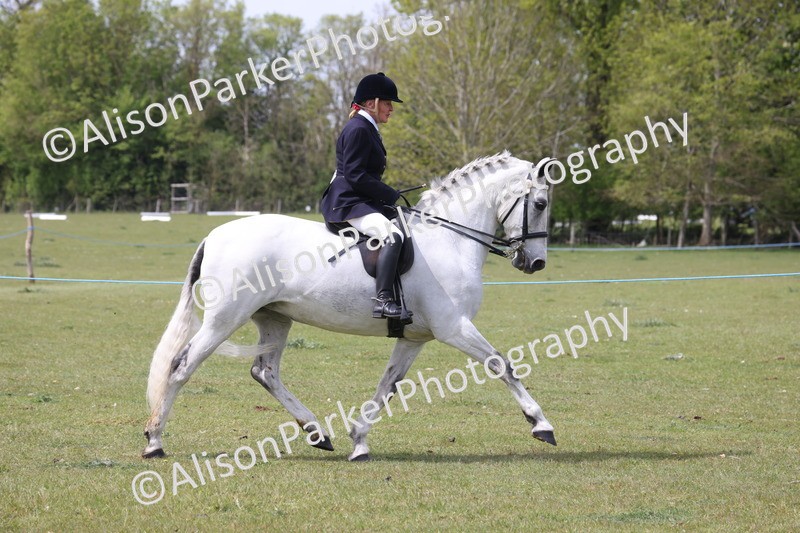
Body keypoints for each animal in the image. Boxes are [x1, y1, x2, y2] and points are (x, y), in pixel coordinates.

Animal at [143, 150, 557, 461]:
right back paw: (154, 441)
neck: (449, 239)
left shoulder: (414, 337)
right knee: (181, 367)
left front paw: (358, 440)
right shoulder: (453, 327)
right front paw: (541, 424)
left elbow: (388, 385)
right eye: (539, 203)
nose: (535, 263)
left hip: (274, 318)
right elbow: (501, 364)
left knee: (265, 372)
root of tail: (214, 235)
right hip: (224, 319)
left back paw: (316, 433)